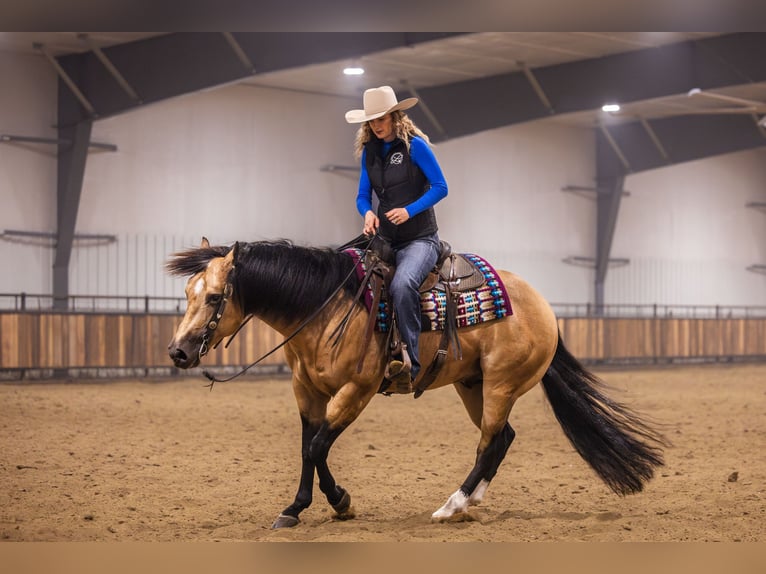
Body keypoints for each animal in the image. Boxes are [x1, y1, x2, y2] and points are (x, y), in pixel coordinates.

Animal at [166, 237, 666, 528]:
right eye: (187, 293)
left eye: (215, 297)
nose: (177, 352)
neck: (326, 304)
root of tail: (544, 307)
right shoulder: (306, 391)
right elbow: (309, 446)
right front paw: (298, 507)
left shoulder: (358, 391)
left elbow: (318, 446)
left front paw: (340, 501)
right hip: (473, 385)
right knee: (502, 438)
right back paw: (472, 499)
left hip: (501, 385)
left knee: (489, 442)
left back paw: (453, 504)